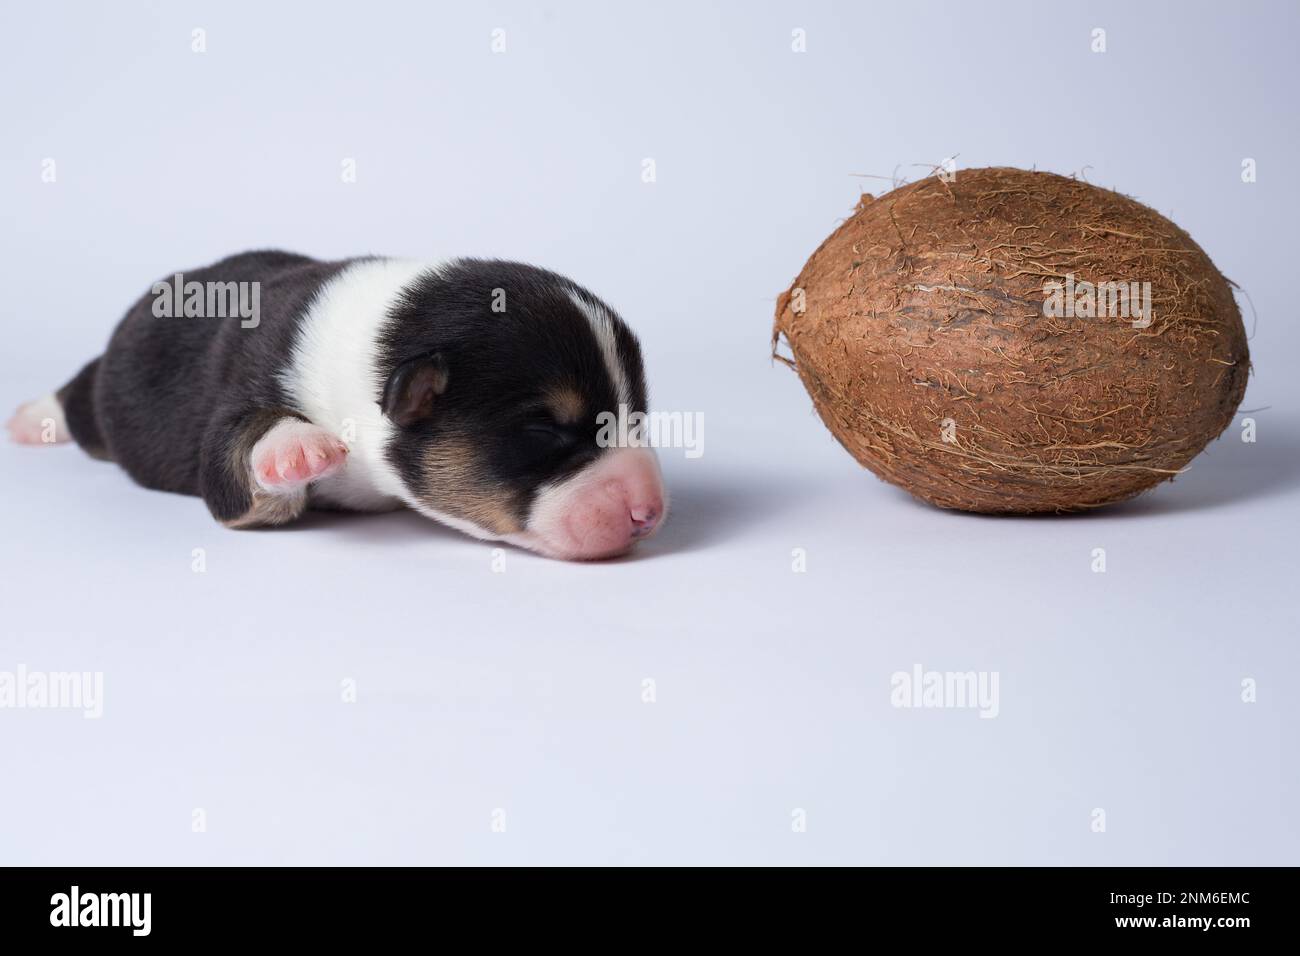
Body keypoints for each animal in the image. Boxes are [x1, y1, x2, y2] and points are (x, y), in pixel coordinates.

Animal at [12, 252, 670, 561]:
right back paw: (31, 419)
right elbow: (240, 454)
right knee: (79, 399)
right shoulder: (238, 402)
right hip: (110, 396)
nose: (650, 513)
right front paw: (297, 447)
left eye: (633, 417)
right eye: (544, 429)